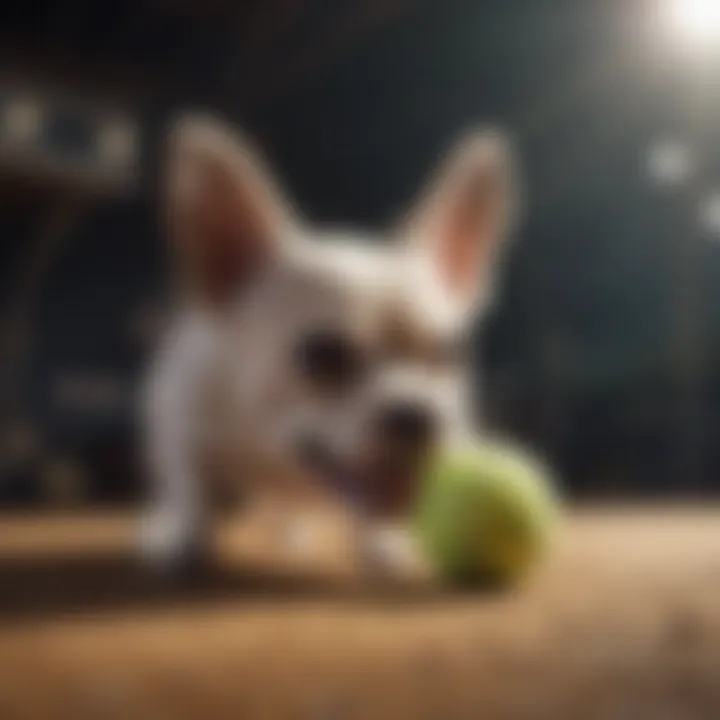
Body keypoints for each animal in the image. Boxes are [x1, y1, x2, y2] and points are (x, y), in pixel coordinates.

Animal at [138, 115, 516, 584]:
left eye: (449, 355)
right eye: (323, 356)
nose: (415, 414)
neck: (274, 457)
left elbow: (373, 515)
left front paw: (384, 545)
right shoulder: (181, 420)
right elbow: (189, 486)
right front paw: (180, 535)